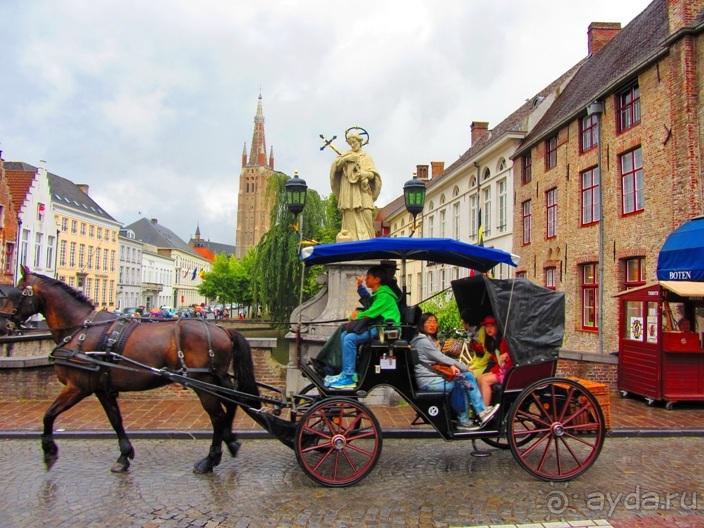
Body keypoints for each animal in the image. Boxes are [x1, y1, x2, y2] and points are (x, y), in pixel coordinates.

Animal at [0, 266, 262, 472]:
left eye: (15, 293)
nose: (4, 324)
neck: (81, 328)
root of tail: (222, 329)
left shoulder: (78, 386)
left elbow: (49, 414)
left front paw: (49, 452)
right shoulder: (102, 387)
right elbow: (115, 419)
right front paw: (124, 456)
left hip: (204, 382)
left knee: (218, 417)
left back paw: (209, 460)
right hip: (216, 378)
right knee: (232, 402)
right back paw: (230, 443)